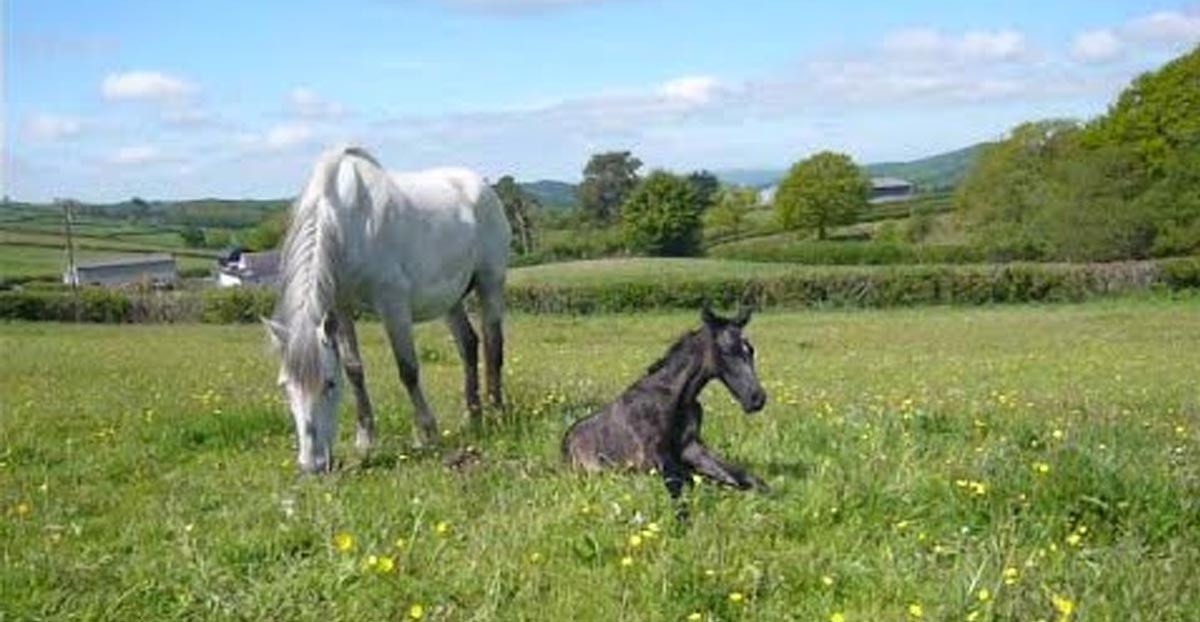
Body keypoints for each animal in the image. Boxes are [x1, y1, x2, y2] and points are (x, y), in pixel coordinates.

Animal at [265, 146, 508, 475]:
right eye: (285, 386)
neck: (348, 222)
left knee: (493, 346)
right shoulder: (341, 306)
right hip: (450, 298)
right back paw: (473, 417)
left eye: (329, 384)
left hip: (490, 283)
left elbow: (408, 370)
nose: (312, 465)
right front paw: (365, 440)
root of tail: (483, 187)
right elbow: (354, 369)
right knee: (468, 344)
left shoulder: (393, 304)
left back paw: (496, 414)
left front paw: (428, 433)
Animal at [561, 304, 768, 499]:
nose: (757, 399)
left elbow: (745, 478)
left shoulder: (692, 448)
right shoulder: (652, 459)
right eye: (726, 351)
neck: (678, 396)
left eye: (751, 350)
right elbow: (691, 481)